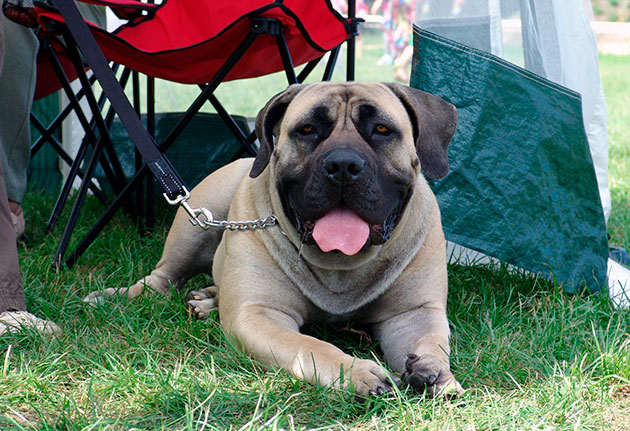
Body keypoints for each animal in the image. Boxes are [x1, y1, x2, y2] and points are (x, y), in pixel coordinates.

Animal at [85, 81, 464, 398]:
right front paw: (356, 372)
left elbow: (431, 340)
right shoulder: (259, 315)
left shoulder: (414, 313)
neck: (341, 266)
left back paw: (207, 300)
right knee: (159, 281)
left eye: (382, 130)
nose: (343, 164)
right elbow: (311, 346)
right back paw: (117, 297)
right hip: (198, 223)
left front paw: (436, 372)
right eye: (307, 130)